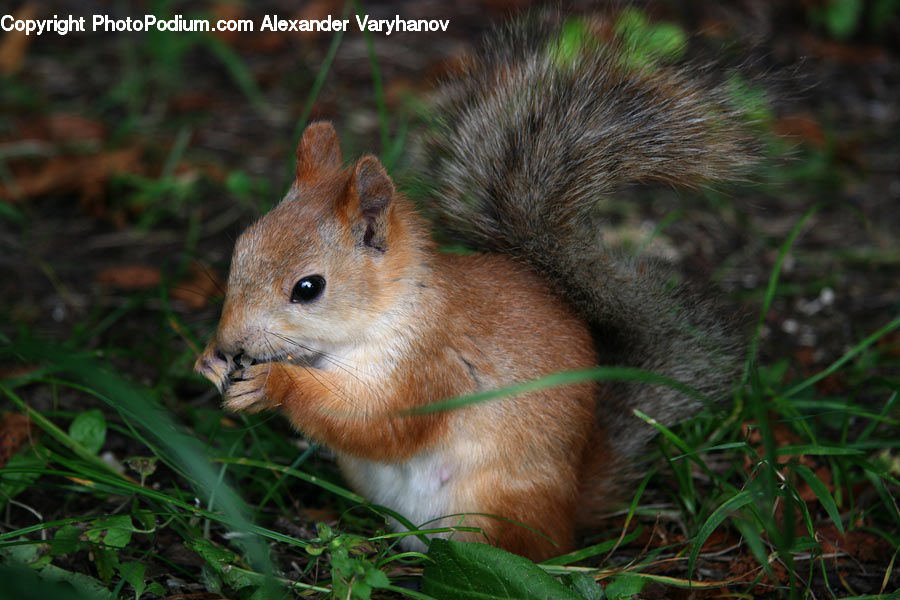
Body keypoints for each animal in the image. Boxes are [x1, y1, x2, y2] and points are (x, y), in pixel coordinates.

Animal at [195, 16, 754, 562]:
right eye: (241, 246)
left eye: (309, 287)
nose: (229, 341)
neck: (391, 311)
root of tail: (571, 510)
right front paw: (209, 361)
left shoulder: (431, 368)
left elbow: (380, 424)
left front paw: (274, 384)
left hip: (494, 504)